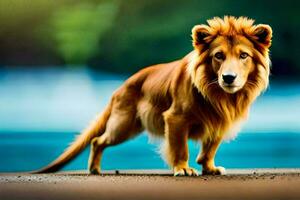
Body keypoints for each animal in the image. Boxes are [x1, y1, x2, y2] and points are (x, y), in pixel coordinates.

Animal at [35, 16, 272, 176]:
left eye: (243, 55)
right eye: (219, 56)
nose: (229, 78)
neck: (219, 94)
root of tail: (122, 86)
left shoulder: (220, 121)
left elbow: (209, 149)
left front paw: (210, 168)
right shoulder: (175, 118)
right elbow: (180, 148)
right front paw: (183, 169)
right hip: (123, 125)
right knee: (97, 140)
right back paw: (94, 169)